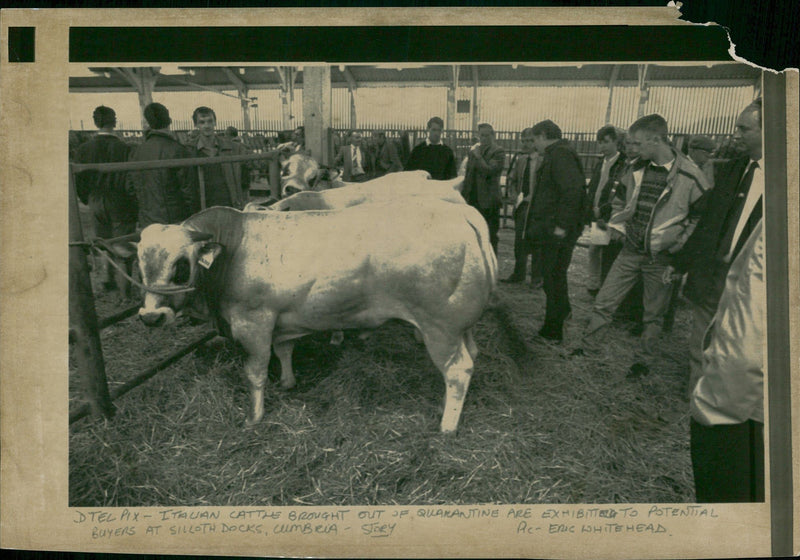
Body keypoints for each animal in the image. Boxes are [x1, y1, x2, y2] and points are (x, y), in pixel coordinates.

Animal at [135, 201, 496, 434]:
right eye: (140, 264)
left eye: (181, 265)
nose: (151, 316)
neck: (234, 250)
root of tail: (462, 214)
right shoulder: (280, 321)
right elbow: (283, 352)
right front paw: (288, 381)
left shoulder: (253, 322)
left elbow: (254, 373)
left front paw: (254, 418)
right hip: (461, 327)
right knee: (472, 356)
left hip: (440, 328)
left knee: (458, 371)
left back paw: (447, 427)